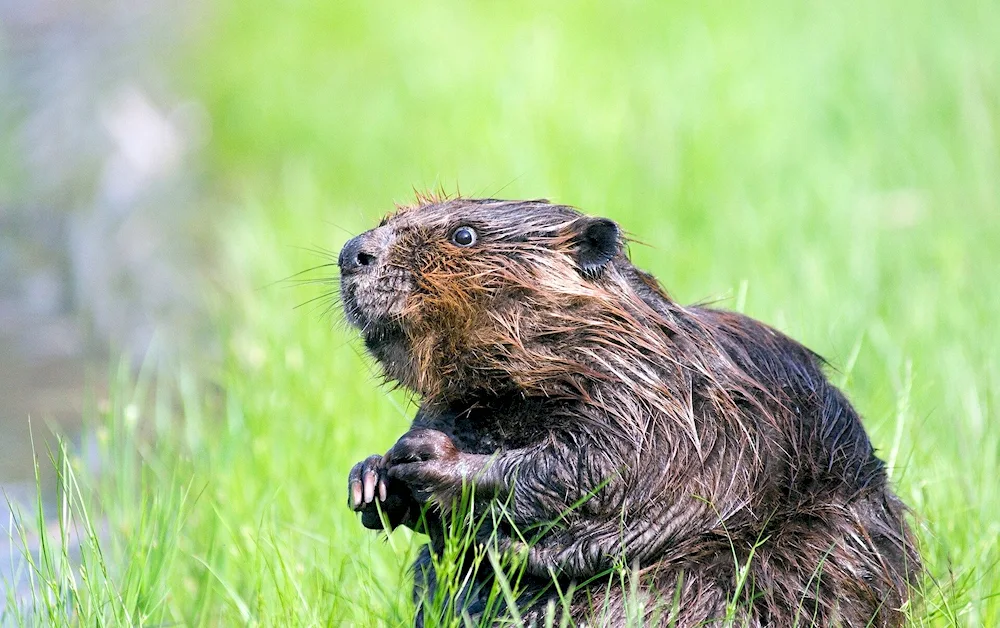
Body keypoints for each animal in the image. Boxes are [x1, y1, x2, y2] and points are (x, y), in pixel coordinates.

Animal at [340, 197, 916, 628]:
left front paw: (429, 459)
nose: (352, 252)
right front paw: (371, 478)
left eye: (464, 235)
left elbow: (601, 468)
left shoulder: (660, 399)